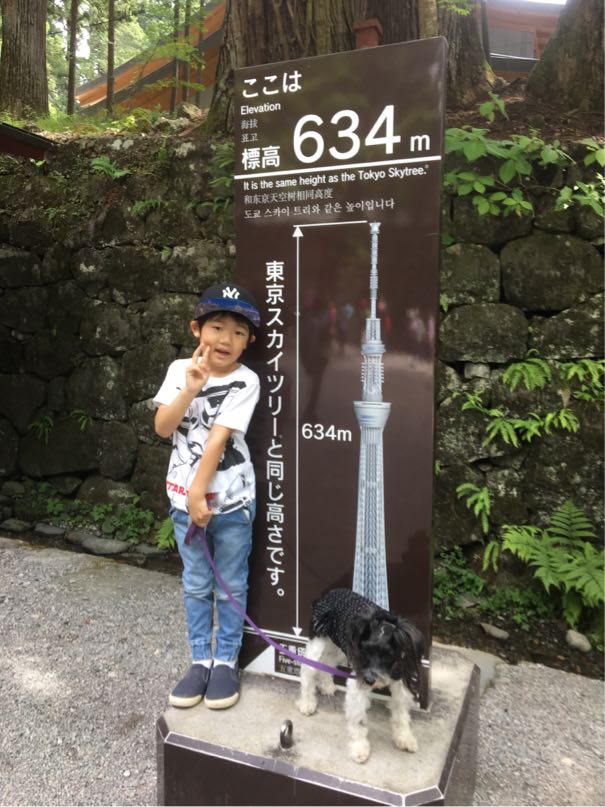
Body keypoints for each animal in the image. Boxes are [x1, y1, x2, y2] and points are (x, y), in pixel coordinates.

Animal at [296, 588, 425, 764]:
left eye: (387, 655)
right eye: (365, 650)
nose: (369, 680)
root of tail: (329, 593)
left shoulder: (400, 682)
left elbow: (401, 713)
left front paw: (404, 737)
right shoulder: (357, 681)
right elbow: (357, 719)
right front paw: (359, 747)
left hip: (338, 647)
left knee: (327, 661)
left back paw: (326, 685)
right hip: (318, 642)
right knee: (307, 670)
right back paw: (307, 703)